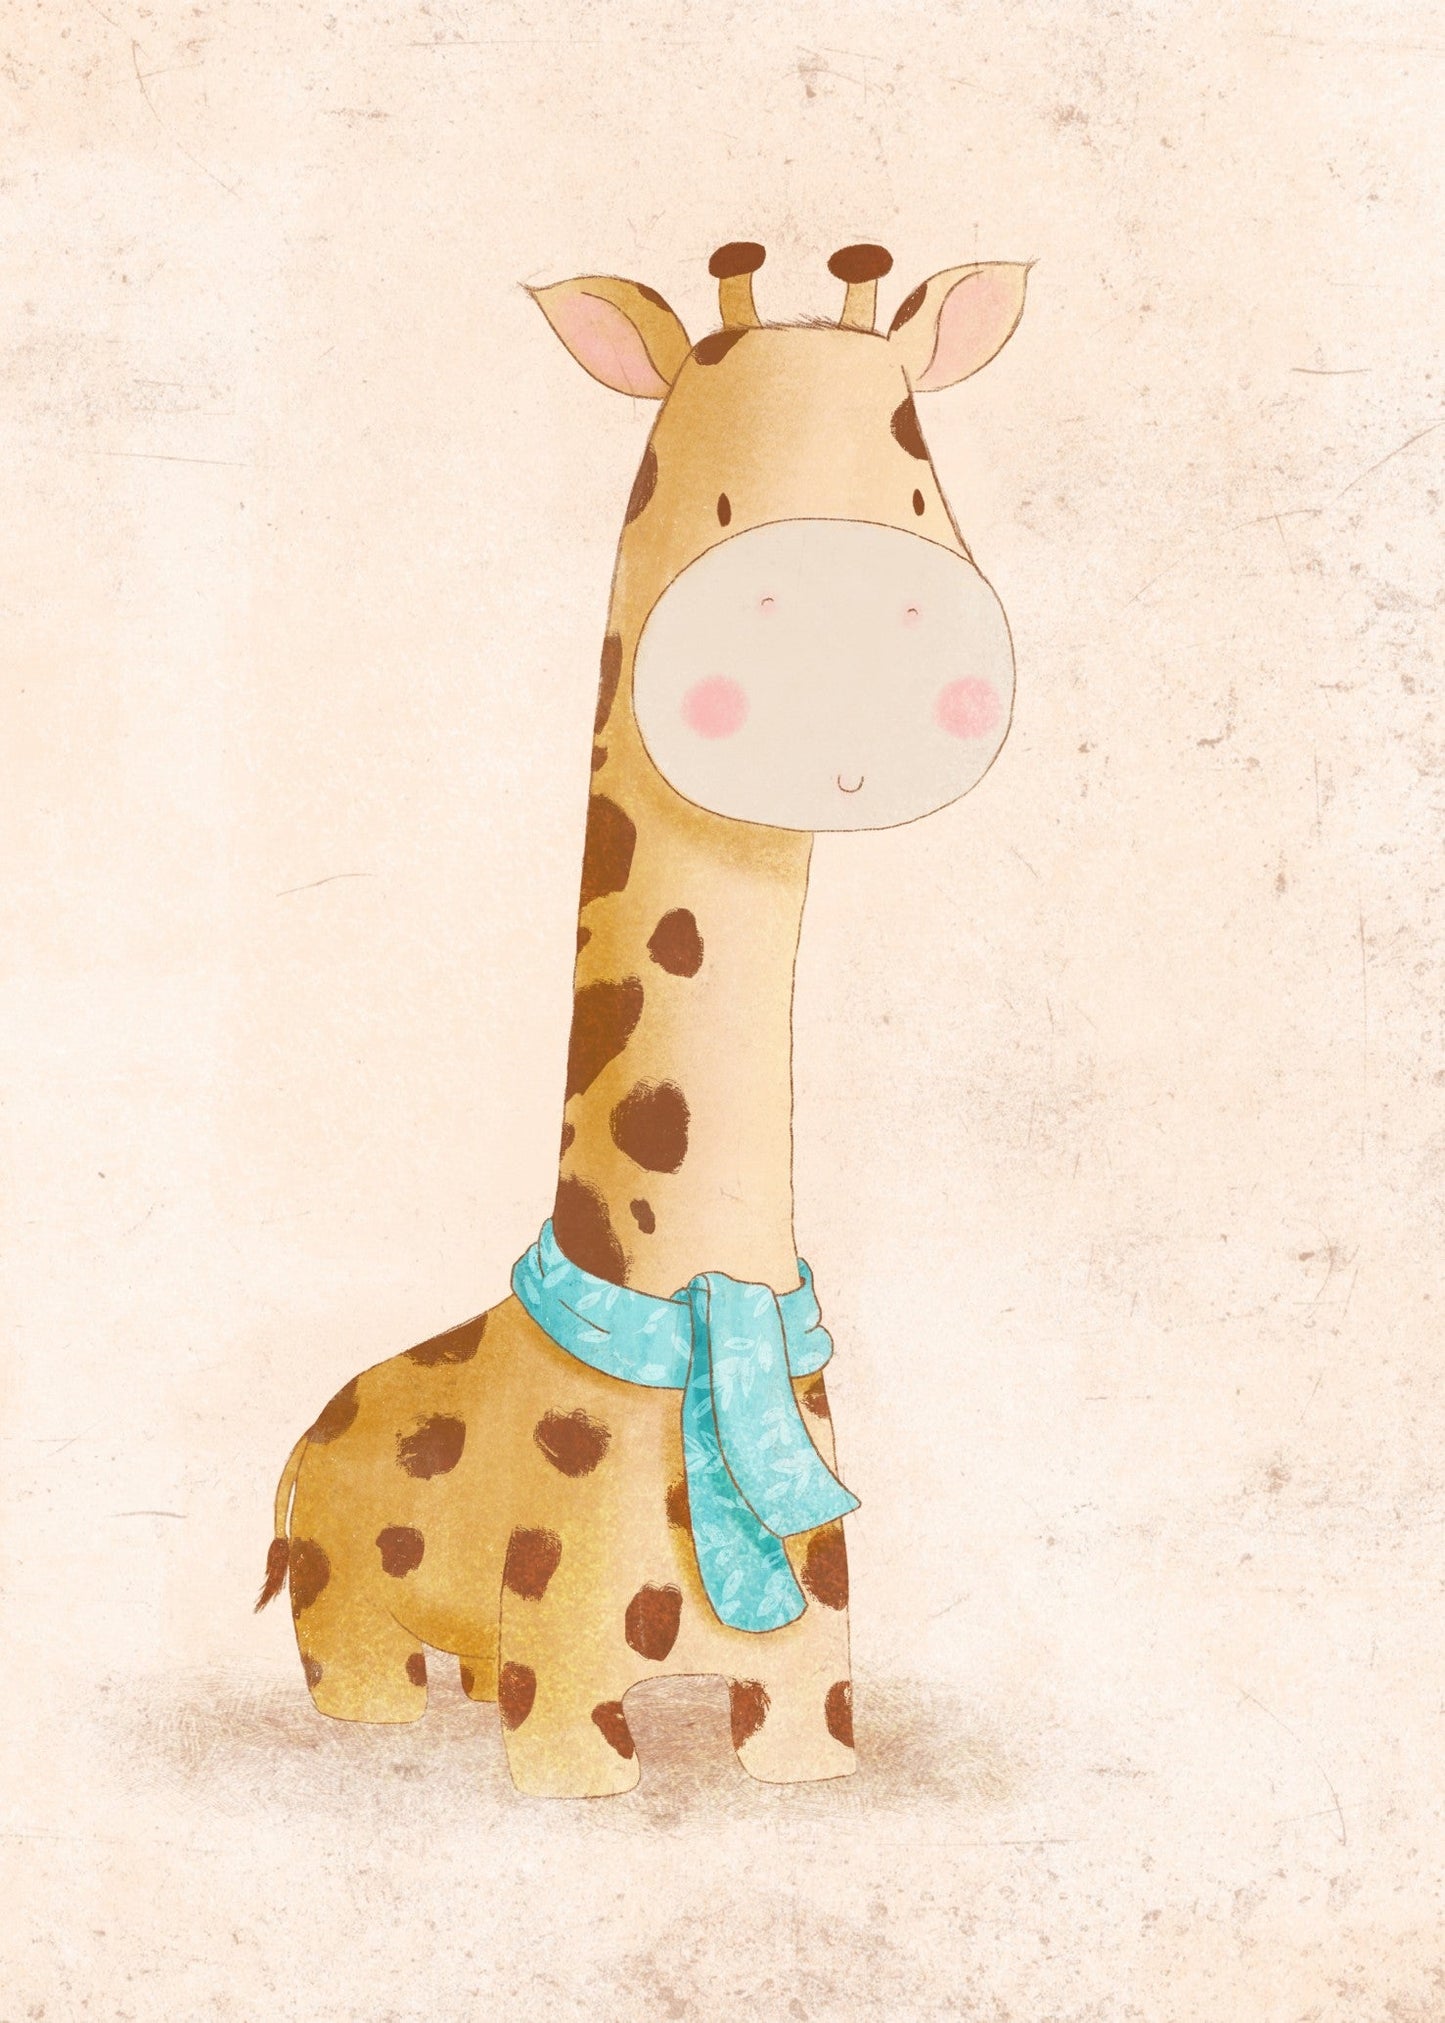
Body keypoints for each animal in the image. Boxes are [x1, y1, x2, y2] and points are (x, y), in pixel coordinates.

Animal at [258, 240, 1030, 1798]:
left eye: (918, 470)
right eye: (709, 489)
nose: (863, 605)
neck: (704, 1324)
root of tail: (315, 1427)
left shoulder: (813, 1677)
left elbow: (803, 1736)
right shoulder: (559, 1686)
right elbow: (569, 1747)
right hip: (343, 1609)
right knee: (364, 1675)